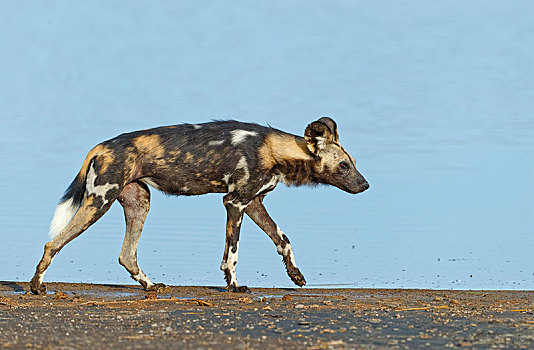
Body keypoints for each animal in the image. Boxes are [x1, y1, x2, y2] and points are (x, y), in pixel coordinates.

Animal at [29, 118, 370, 296]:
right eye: (343, 166)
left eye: (352, 163)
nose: (366, 185)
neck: (274, 149)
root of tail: (100, 146)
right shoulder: (235, 203)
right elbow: (232, 254)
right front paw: (234, 286)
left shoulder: (253, 204)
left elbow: (283, 240)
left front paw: (296, 275)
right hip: (99, 202)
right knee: (52, 244)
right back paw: (36, 286)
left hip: (139, 203)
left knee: (127, 254)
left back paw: (151, 285)